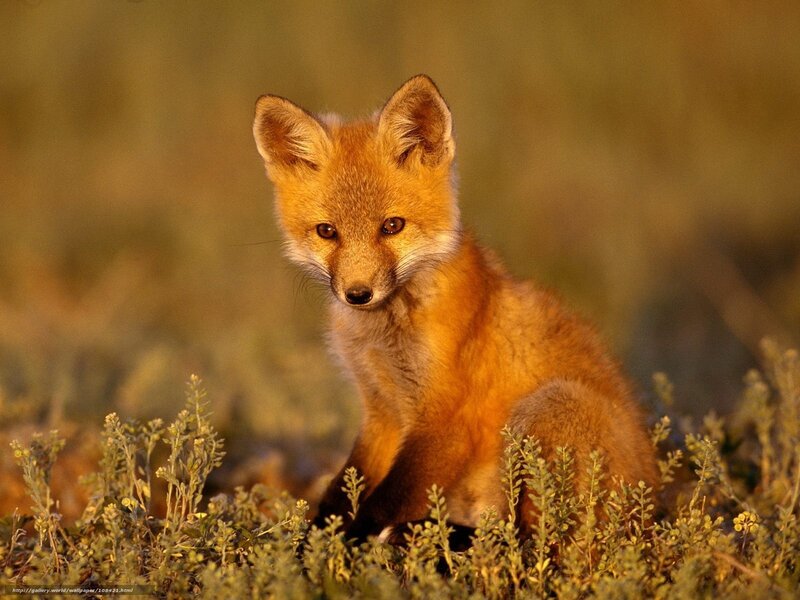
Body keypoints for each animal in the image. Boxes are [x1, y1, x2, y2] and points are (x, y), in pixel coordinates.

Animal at [252, 74, 658, 542]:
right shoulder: (381, 409)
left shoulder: (447, 420)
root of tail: (651, 512)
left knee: (533, 540)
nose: (357, 294)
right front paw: (316, 538)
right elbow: (341, 491)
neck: (386, 335)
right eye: (326, 232)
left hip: (550, 405)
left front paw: (344, 547)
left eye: (392, 226)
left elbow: (382, 502)